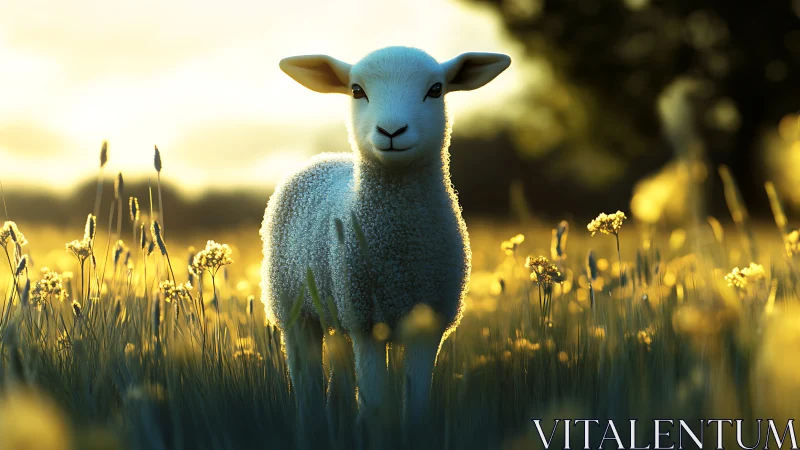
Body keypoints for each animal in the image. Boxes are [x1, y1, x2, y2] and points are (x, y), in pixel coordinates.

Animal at [260, 46, 510, 435]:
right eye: (356, 90)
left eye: (436, 89)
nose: (392, 130)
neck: (398, 247)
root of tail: (324, 159)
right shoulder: (364, 322)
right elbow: (375, 407)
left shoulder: (427, 322)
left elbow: (416, 408)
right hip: (295, 310)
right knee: (308, 387)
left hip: (339, 314)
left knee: (339, 383)